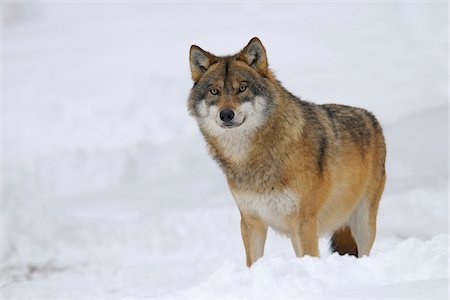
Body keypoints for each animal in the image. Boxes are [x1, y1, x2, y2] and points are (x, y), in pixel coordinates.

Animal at [186, 38, 386, 268]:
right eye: (214, 91)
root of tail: (371, 117)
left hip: (363, 223)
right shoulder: (251, 221)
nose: (226, 114)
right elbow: (253, 262)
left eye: (242, 88)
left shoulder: (304, 221)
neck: (252, 158)